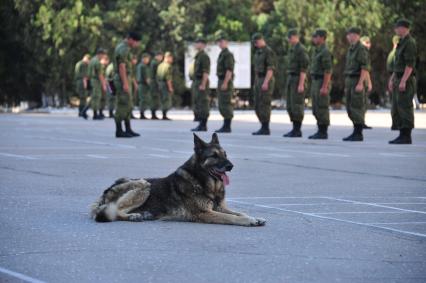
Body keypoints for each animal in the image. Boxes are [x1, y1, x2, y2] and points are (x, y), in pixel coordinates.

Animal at [90, 134, 266, 229]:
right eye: (214, 156)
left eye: (225, 154)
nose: (230, 166)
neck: (202, 182)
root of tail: (105, 192)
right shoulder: (205, 213)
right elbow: (233, 217)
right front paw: (248, 221)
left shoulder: (220, 207)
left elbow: (239, 212)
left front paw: (255, 217)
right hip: (143, 184)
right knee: (112, 212)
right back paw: (134, 216)